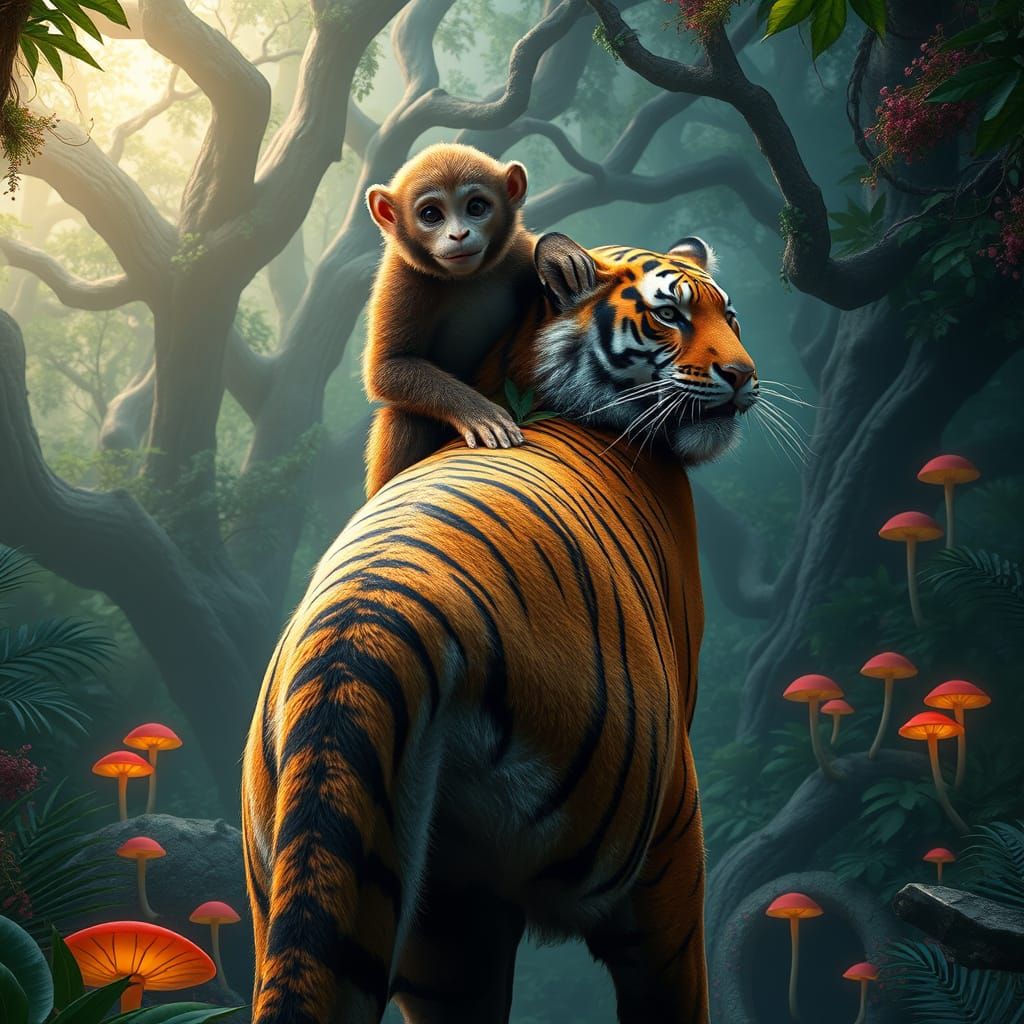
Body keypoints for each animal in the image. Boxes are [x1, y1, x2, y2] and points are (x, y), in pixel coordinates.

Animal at [241, 232, 758, 1024]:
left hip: (404, 913)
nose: (744, 375)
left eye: (729, 316)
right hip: (661, 842)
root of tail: (365, 620)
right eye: (669, 316)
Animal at [362, 143, 574, 498]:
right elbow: (388, 367)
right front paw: (479, 413)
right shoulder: (402, 276)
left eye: (476, 207)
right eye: (430, 215)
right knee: (404, 415)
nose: (459, 234)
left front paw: (560, 252)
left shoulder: (514, 252)